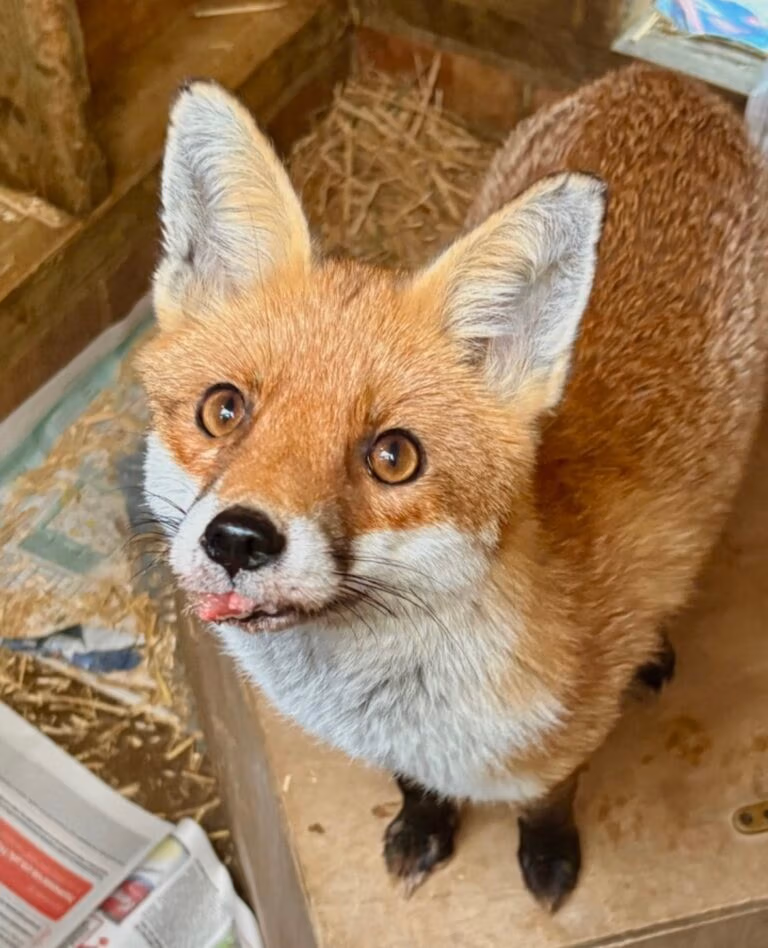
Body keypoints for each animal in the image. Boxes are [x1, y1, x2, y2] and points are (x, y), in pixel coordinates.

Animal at [139, 63, 768, 911]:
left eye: (393, 456)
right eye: (224, 409)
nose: (238, 538)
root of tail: (664, 80)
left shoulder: (567, 736)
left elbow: (548, 799)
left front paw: (548, 858)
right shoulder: (402, 751)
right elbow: (416, 787)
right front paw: (424, 829)